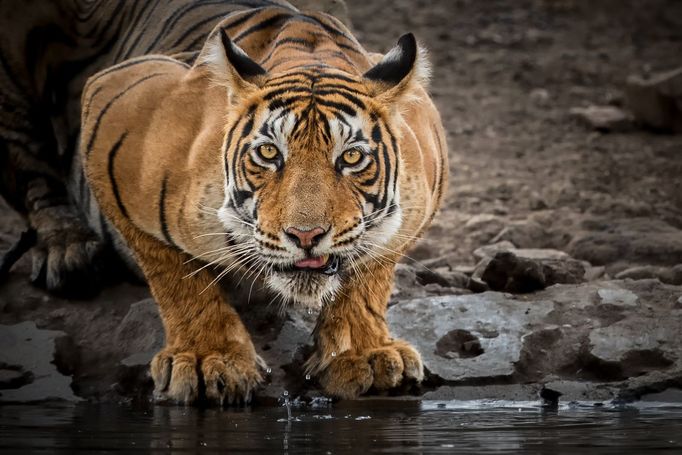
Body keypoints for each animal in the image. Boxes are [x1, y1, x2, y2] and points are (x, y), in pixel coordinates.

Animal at [1, 0, 446, 406]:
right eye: (268, 153)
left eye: (351, 157)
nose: (306, 236)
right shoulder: (117, 107)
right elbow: (174, 273)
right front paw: (207, 358)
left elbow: (372, 272)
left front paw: (364, 353)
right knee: (34, 176)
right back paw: (68, 251)